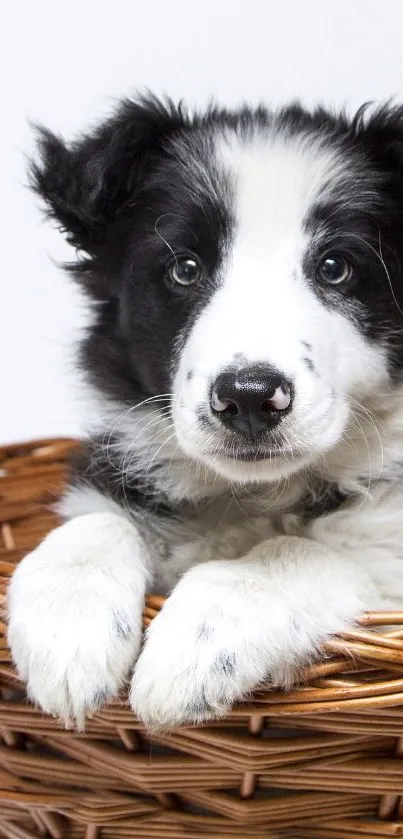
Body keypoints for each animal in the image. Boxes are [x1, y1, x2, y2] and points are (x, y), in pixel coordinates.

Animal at [7, 97, 403, 728]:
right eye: (185, 269)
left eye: (336, 267)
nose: (249, 396)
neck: (254, 495)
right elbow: (97, 520)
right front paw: (67, 631)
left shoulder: (387, 556)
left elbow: (299, 550)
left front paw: (196, 646)